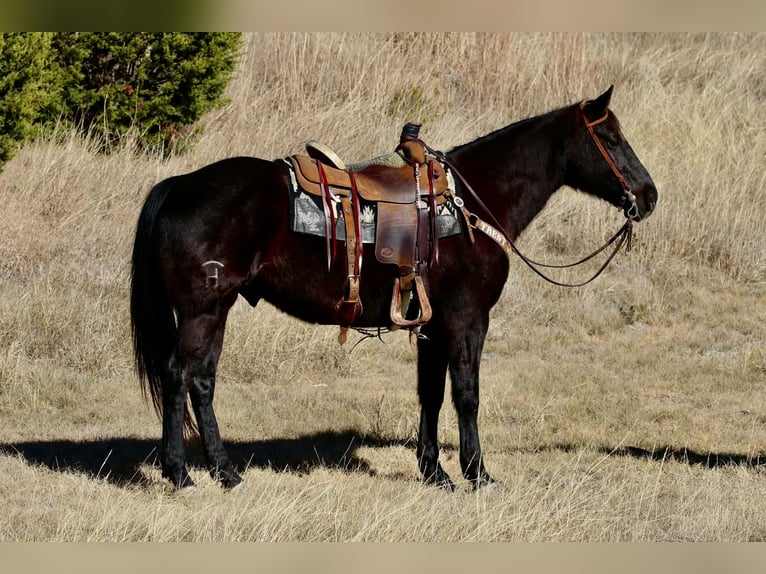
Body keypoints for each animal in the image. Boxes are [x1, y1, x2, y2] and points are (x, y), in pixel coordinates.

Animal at [130, 86, 658, 491]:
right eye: (610, 137)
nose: (649, 196)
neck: (469, 204)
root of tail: (178, 186)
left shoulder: (431, 325)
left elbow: (432, 393)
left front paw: (435, 472)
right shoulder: (467, 317)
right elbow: (467, 392)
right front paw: (477, 473)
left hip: (217, 307)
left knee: (202, 381)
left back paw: (225, 472)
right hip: (201, 309)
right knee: (179, 376)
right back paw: (180, 474)